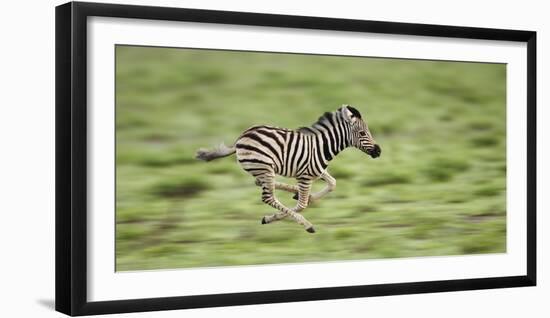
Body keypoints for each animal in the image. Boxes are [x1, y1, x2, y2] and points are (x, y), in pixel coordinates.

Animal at [196, 105, 382, 232]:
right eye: (363, 133)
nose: (379, 151)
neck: (323, 147)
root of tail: (241, 137)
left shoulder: (315, 171)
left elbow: (332, 184)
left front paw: (305, 195)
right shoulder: (305, 176)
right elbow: (302, 205)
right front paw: (293, 218)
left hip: (262, 169)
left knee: (259, 183)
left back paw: (293, 192)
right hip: (264, 168)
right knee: (268, 197)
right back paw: (303, 222)